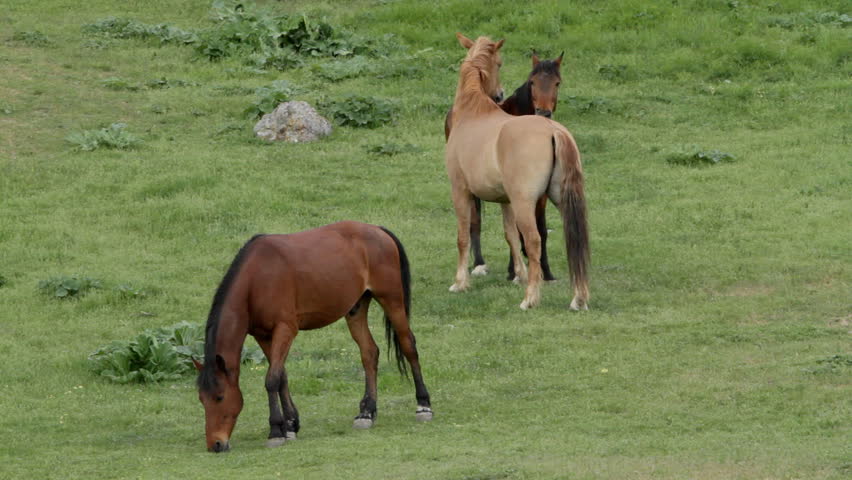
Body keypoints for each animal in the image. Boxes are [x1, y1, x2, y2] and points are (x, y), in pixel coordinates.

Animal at [194, 221, 433, 452]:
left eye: (219, 397)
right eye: (201, 400)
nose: (215, 444)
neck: (257, 278)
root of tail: (378, 230)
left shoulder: (285, 329)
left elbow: (272, 380)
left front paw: (276, 431)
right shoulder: (263, 336)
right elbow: (281, 376)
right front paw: (290, 425)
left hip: (392, 301)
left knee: (408, 346)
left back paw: (424, 406)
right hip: (356, 309)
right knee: (369, 353)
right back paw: (366, 412)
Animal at [445, 52, 564, 283]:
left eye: (557, 83)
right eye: (533, 82)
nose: (543, 113)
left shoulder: (539, 194)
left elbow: (541, 229)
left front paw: (546, 271)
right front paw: (514, 271)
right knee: (475, 219)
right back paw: (479, 264)